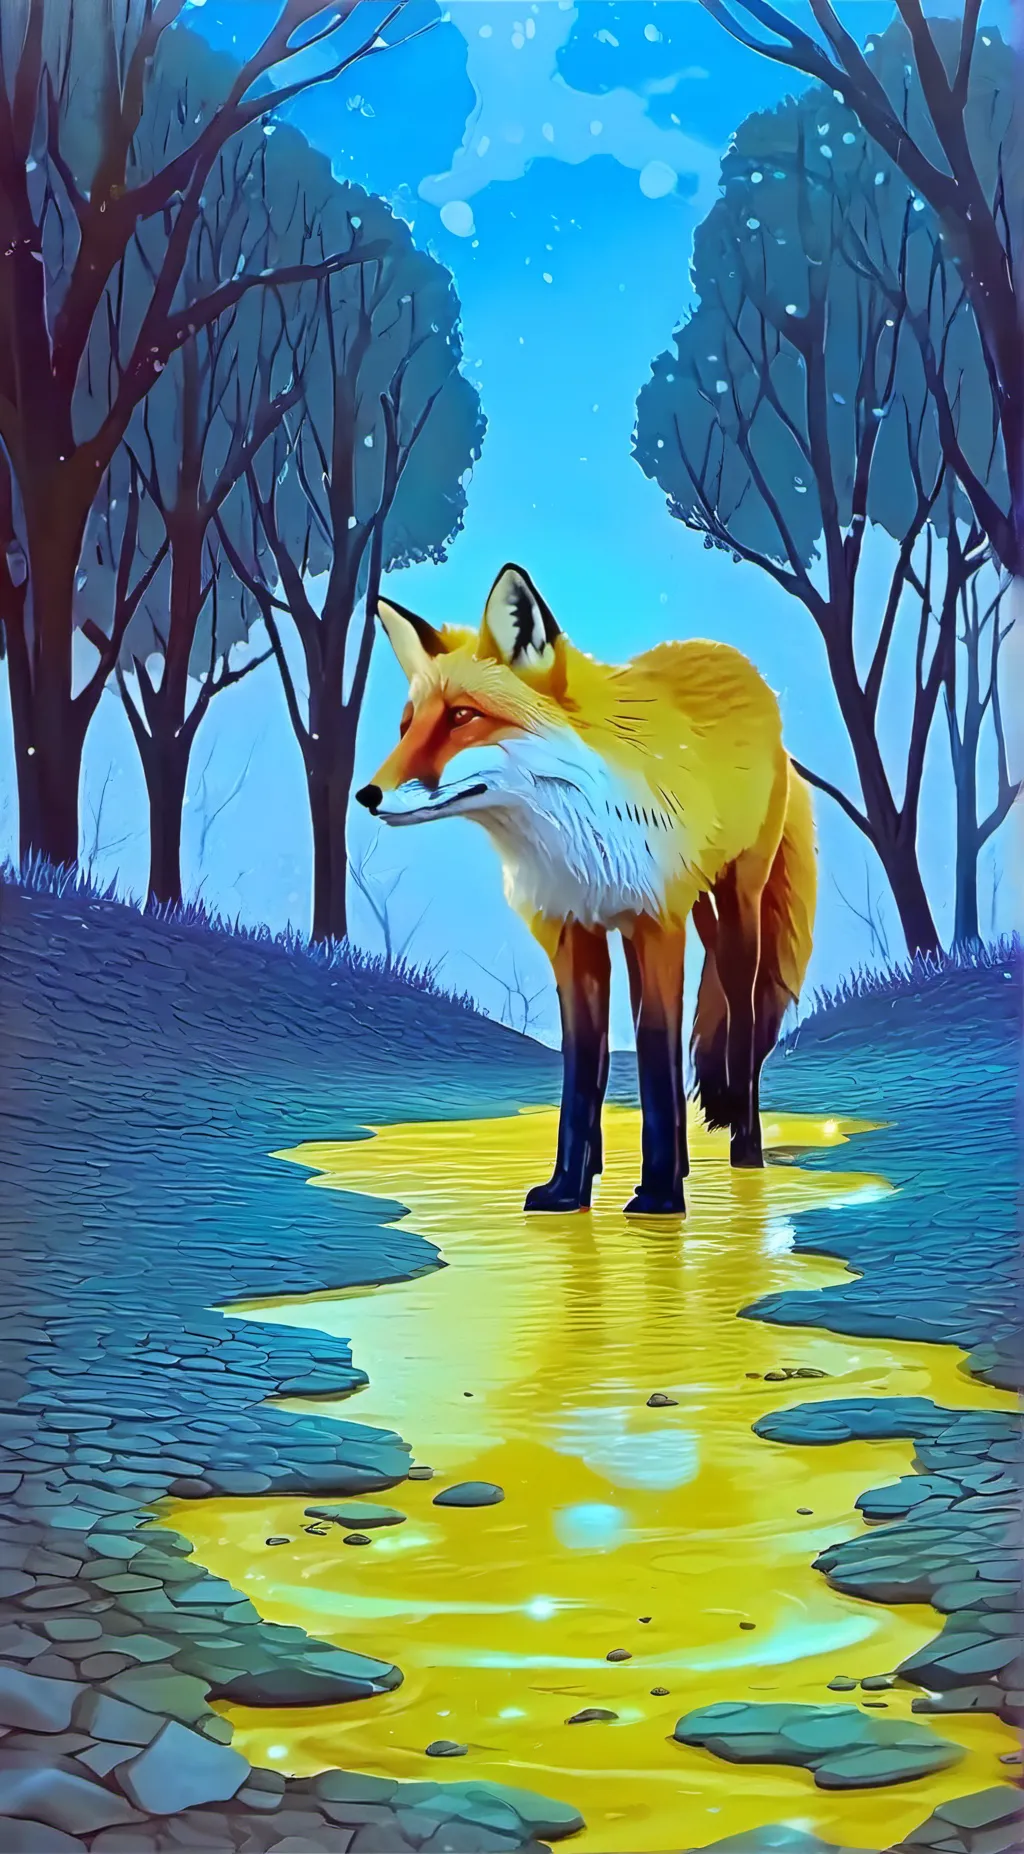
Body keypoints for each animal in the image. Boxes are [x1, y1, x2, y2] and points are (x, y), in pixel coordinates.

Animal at [357, 563, 816, 1217]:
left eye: (462, 718)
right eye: (406, 725)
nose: (367, 795)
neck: (575, 832)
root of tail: (737, 660)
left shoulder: (656, 924)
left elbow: (655, 1060)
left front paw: (659, 1196)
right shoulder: (572, 934)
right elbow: (581, 1075)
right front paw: (568, 1190)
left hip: (733, 919)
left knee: (744, 1027)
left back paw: (743, 1154)